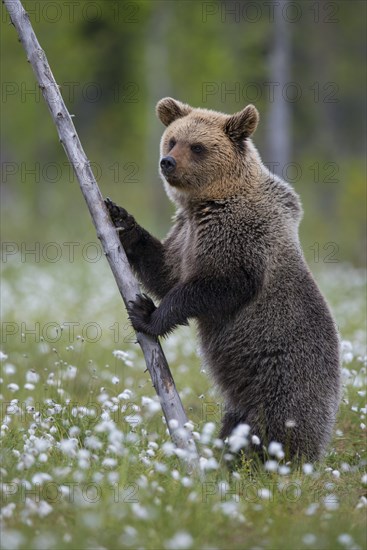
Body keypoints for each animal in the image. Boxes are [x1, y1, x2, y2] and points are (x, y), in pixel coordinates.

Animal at [105, 98, 342, 462]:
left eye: (197, 147)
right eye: (172, 140)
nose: (167, 162)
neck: (211, 200)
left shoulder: (240, 238)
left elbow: (217, 286)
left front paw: (147, 313)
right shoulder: (187, 234)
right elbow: (165, 269)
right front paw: (121, 219)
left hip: (283, 381)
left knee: (272, 429)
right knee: (236, 426)